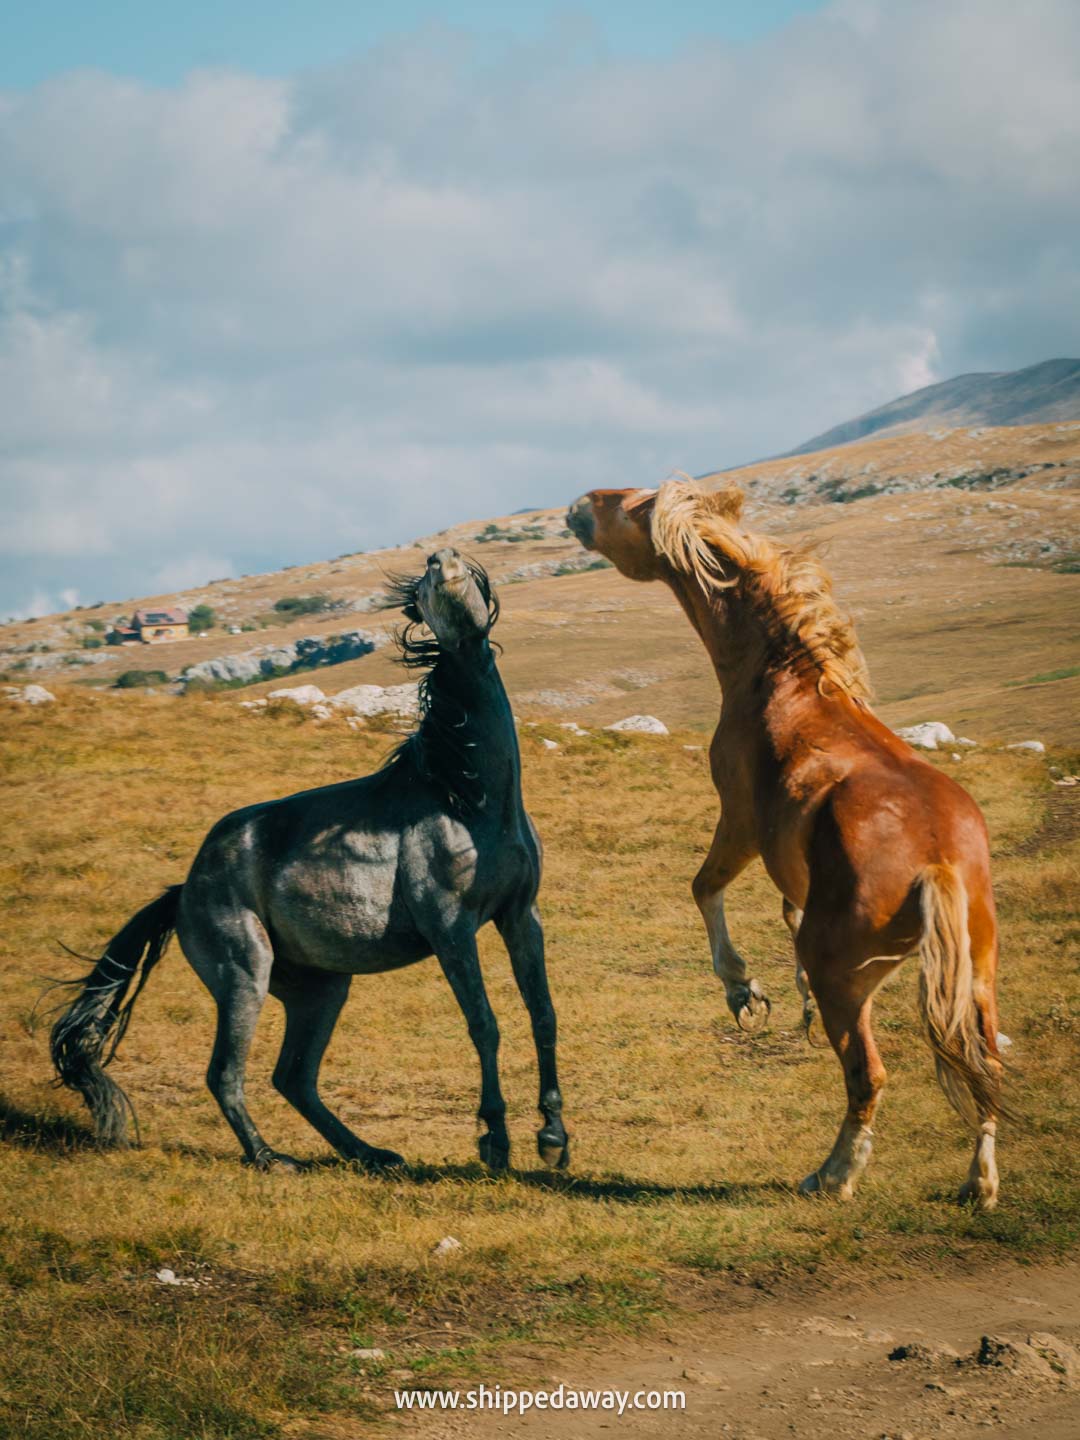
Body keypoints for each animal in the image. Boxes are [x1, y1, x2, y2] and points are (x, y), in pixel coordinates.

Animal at [48, 549, 569, 1175]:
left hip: (320, 991)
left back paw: (372, 1154)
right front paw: (495, 1139)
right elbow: (484, 1024)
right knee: (226, 1074)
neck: (468, 798)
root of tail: (184, 891)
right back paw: (271, 1159)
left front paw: (554, 1136)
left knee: (293, 1077)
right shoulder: (451, 928)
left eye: (464, 571)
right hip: (245, 974)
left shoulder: (519, 916)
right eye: (423, 587)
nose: (440, 558)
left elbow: (543, 1013)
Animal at [566, 479, 1004, 1209]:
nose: (573, 507)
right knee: (985, 1064)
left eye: (623, 501)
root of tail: (939, 861)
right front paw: (777, 991)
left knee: (868, 1075)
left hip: (847, 982)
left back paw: (834, 1174)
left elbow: (704, 887)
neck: (784, 675)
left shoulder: (740, 819)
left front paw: (743, 990)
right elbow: (784, 908)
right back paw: (980, 1182)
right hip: (976, 976)